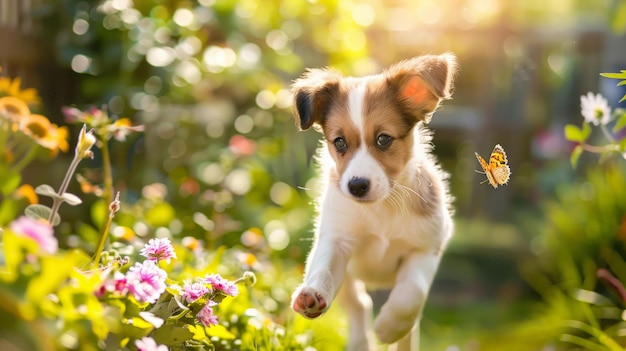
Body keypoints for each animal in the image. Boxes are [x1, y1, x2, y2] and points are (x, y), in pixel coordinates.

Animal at [290, 53, 456, 351]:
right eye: (339, 142)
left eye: (383, 139)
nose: (356, 186)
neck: (382, 207)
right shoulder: (336, 240)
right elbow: (324, 270)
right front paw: (312, 293)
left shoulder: (425, 249)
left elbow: (410, 296)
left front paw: (389, 328)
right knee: (359, 304)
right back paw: (360, 341)